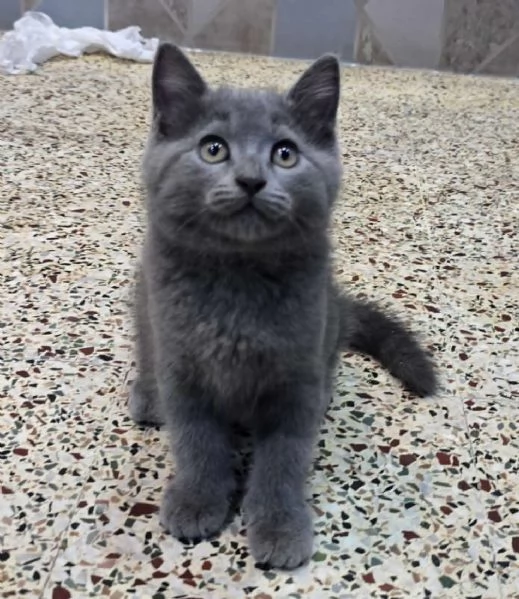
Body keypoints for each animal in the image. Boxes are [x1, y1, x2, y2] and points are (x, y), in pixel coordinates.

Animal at [130, 43, 438, 572]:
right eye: (213, 148)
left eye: (285, 153)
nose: (251, 180)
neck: (238, 280)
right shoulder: (184, 369)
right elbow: (196, 442)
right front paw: (196, 500)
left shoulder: (296, 379)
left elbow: (283, 461)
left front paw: (279, 526)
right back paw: (149, 399)